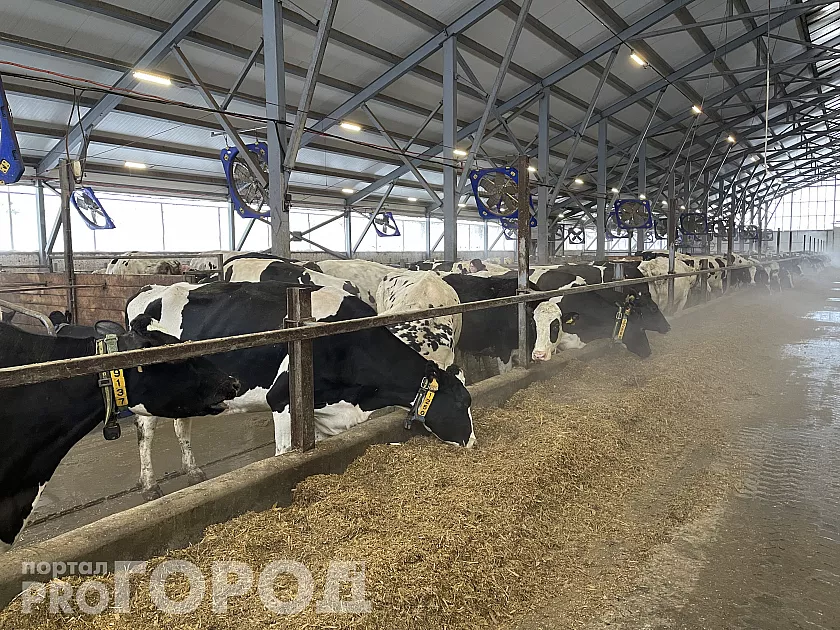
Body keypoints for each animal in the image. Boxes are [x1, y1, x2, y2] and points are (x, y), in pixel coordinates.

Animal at [126, 281, 475, 499]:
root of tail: (149, 291)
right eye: (460, 402)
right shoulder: (283, 401)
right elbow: (284, 455)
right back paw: (150, 486)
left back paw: (194, 472)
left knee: (181, 423)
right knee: (146, 430)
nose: (472, 442)